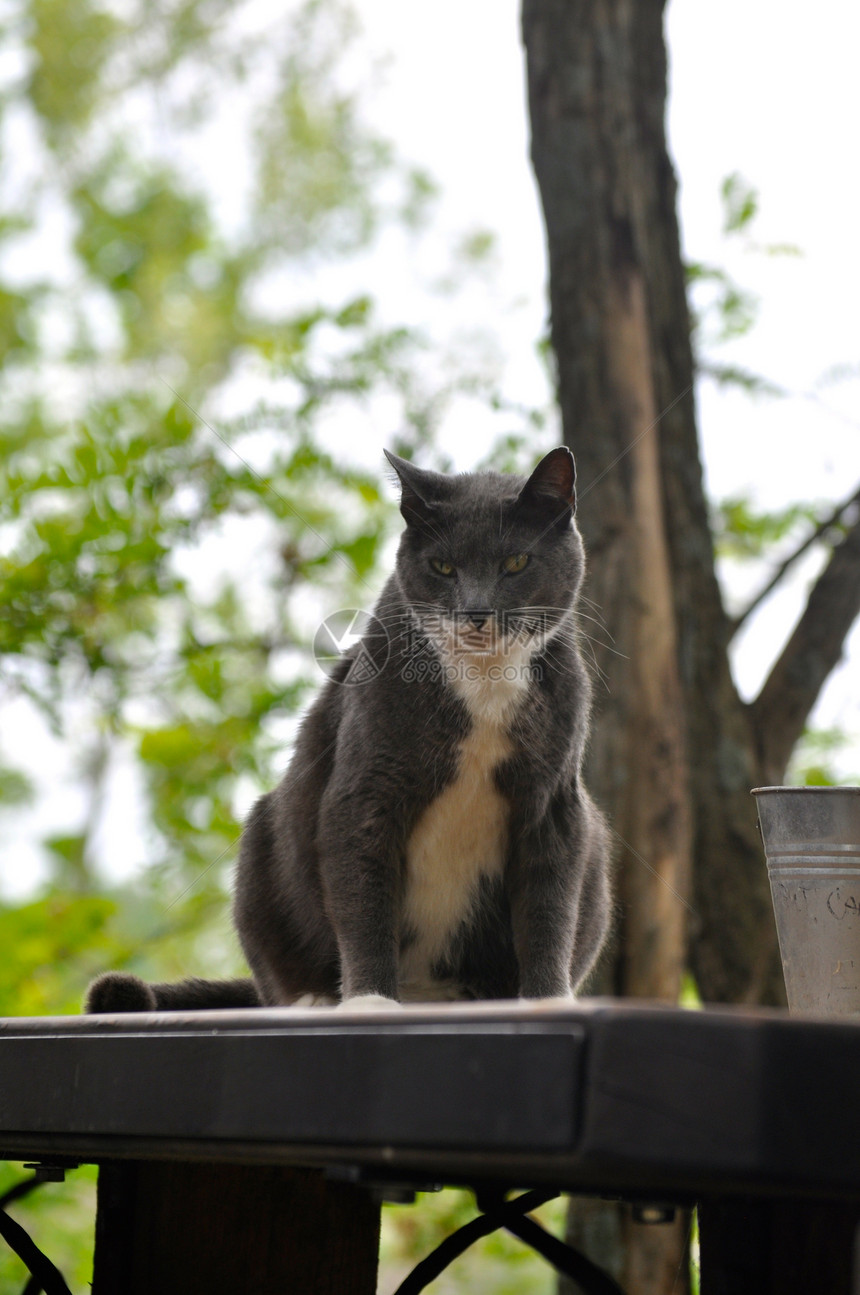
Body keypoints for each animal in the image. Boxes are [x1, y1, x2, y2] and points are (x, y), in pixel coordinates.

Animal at [87, 450, 611, 1015]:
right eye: (443, 566)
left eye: (516, 563)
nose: (476, 612)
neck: (485, 679)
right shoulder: (364, 787)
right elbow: (363, 895)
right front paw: (371, 1002)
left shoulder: (554, 800)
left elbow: (550, 903)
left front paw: (547, 1000)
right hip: (263, 837)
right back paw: (316, 999)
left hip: (596, 842)